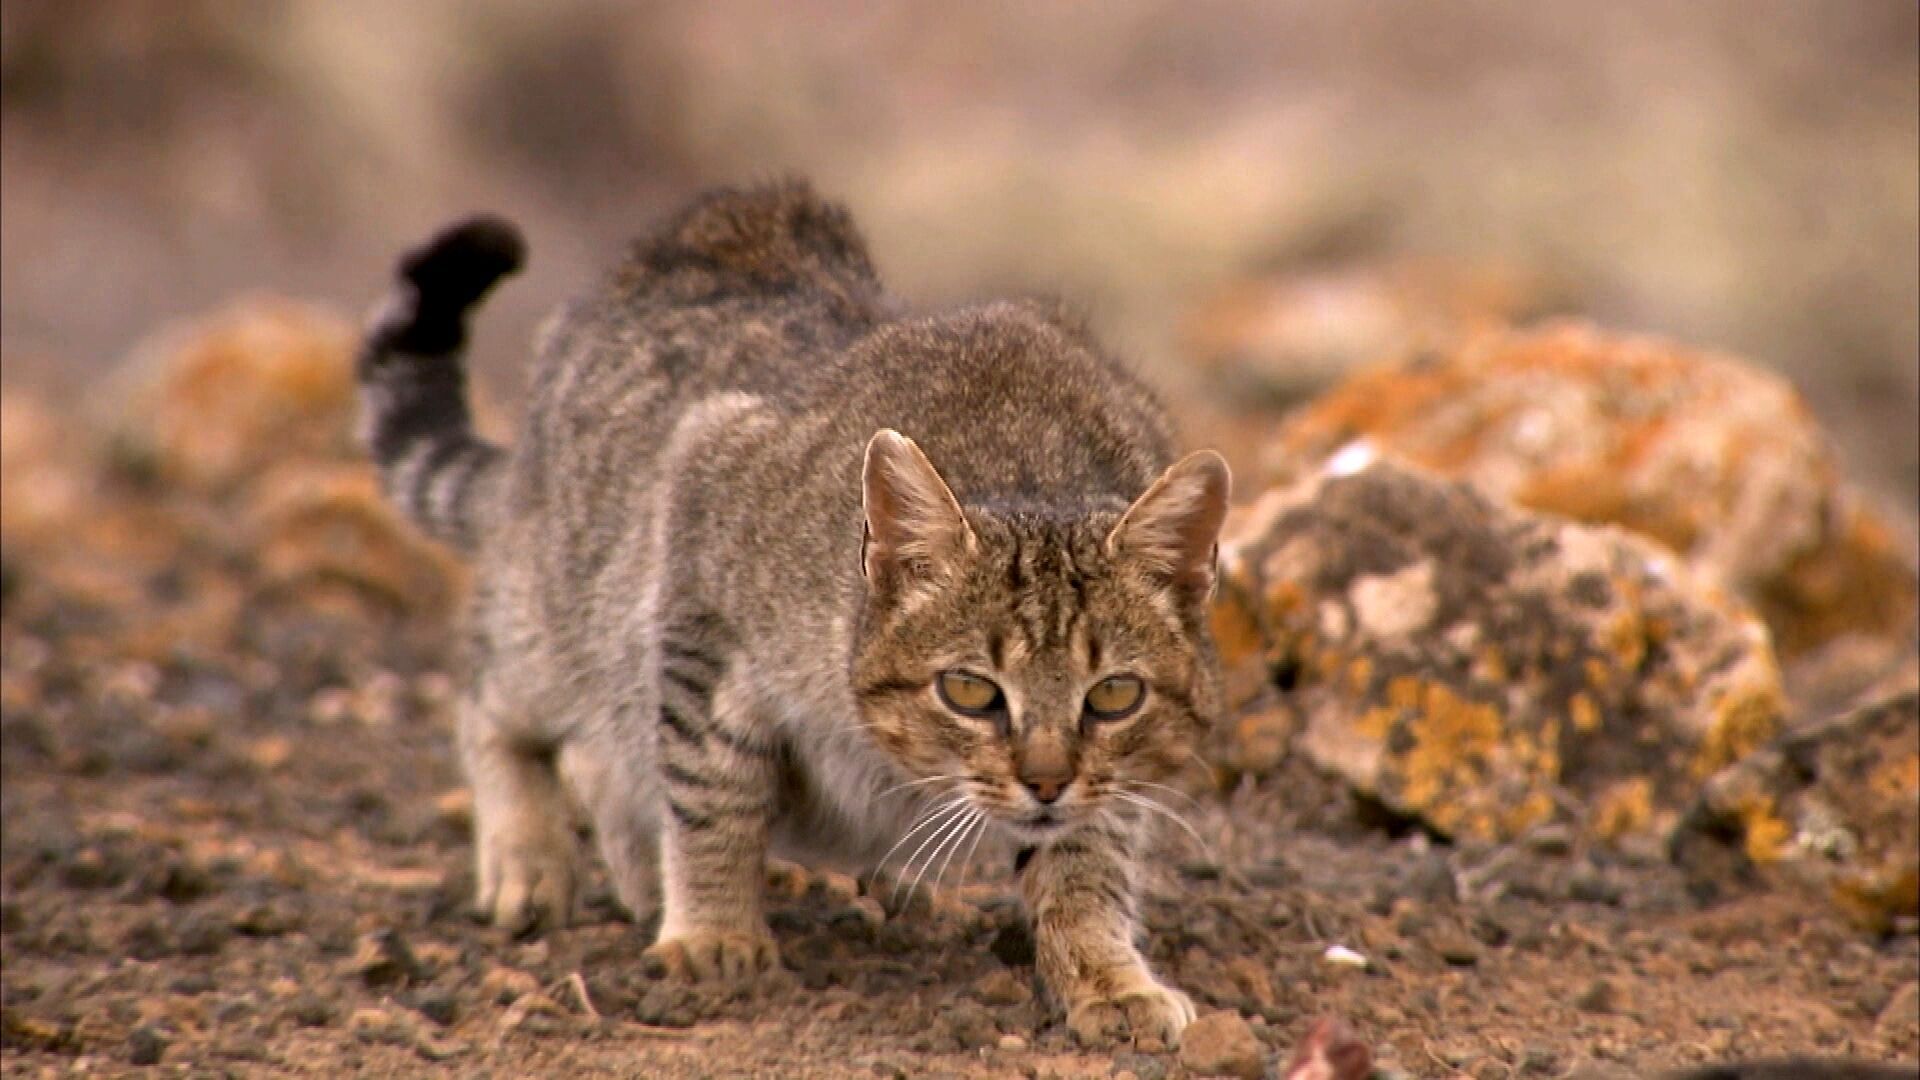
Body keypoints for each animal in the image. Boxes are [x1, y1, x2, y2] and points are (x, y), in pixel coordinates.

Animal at [359, 178, 1228, 1045]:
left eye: (1114, 696)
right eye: (970, 691)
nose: (1046, 783)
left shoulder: (1112, 784)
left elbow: (1088, 863)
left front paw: (1108, 977)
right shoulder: (701, 597)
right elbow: (713, 797)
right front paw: (715, 930)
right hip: (561, 612)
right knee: (492, 693)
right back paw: (531, 855)